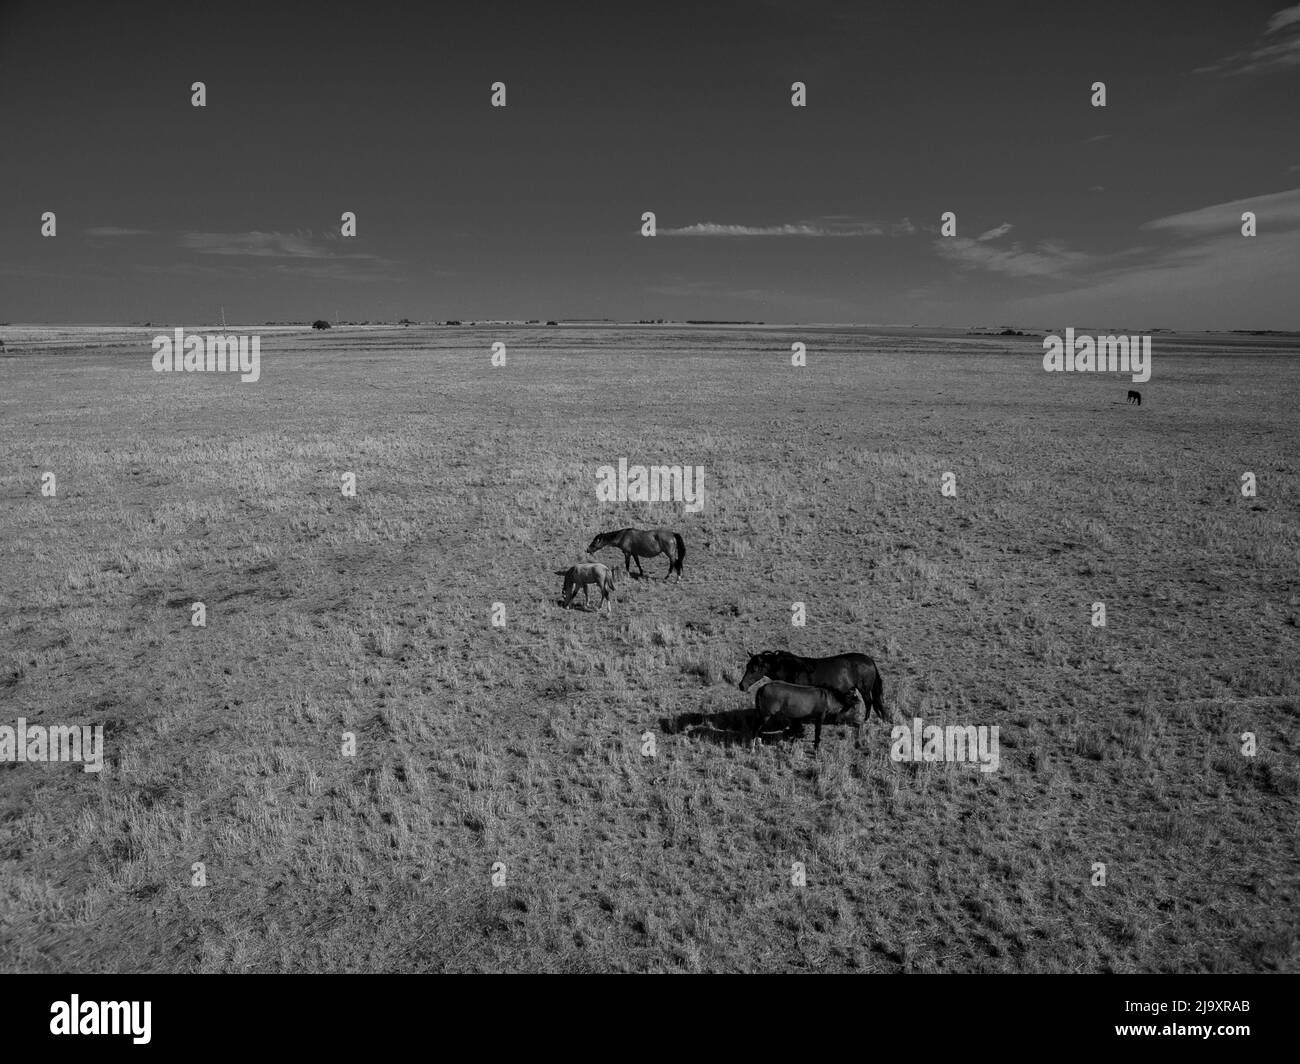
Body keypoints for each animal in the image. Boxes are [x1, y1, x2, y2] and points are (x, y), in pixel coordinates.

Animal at [739, 650, 887, 746]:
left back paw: (864, 720)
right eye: (747, 666)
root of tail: (870, 660)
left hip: (864, 689)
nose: (741, 685)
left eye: (754, 669)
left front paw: (797, 732)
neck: (791, 668)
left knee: (869, 702)